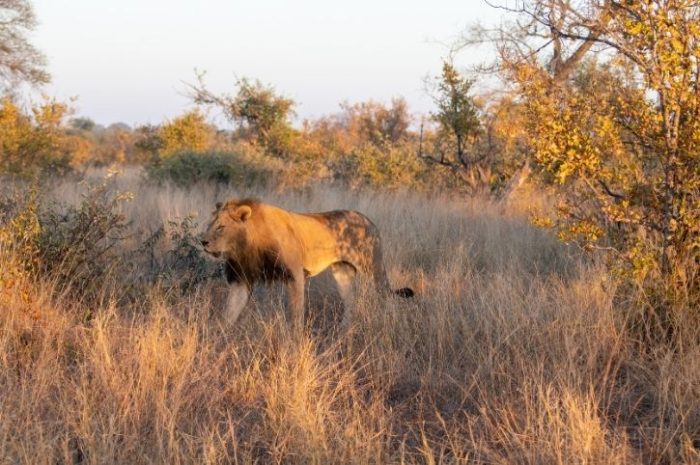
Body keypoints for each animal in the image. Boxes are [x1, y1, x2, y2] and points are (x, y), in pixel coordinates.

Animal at [200, 198, 414, 329]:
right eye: (209, 225)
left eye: (220, 227)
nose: (203, 242)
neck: (246, 246)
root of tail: (369, 221)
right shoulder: (241, 279)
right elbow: (229, 313)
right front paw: (219, 337)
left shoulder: (295, 274)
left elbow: (296, 314)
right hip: (342, 273)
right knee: (350, 302)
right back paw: (343, 331)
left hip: (371, 268)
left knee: (384, 297)